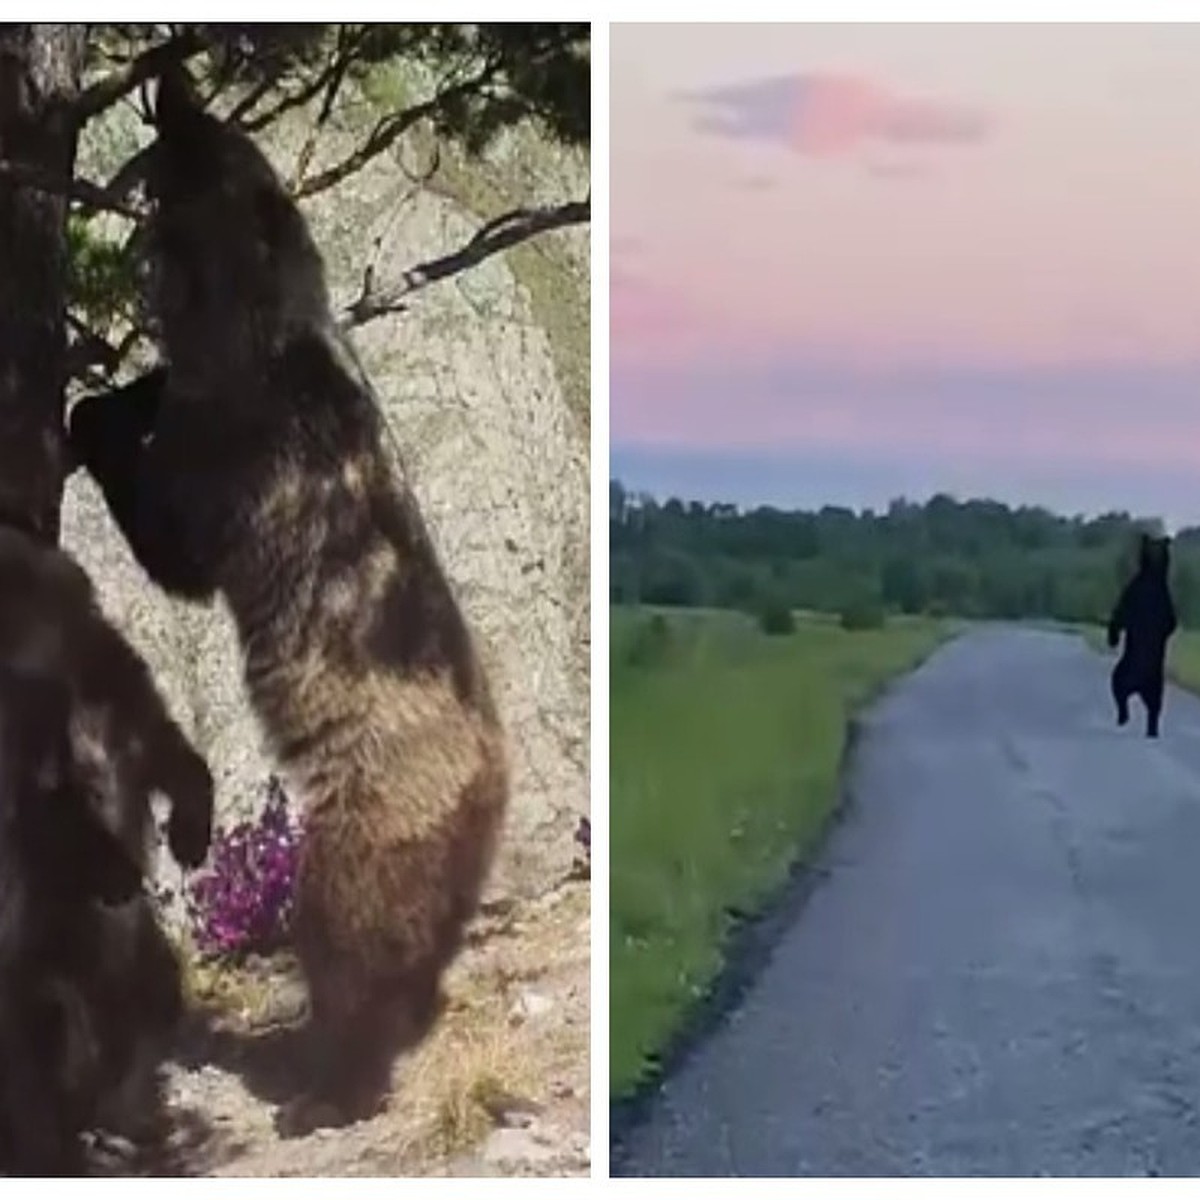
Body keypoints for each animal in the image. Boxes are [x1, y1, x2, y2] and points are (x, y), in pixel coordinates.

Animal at [69, 63, 511, 1132]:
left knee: (346, 936)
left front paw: (92, 413)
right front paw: (123, 389)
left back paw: (332, 1083)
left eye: (149, 193)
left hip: (371, 821)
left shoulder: (244, 455)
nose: (125, 251)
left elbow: (179, 550)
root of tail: (489, 777)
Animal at [1108, 537, 1176, 739]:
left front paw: (1112, 639)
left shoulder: (1133, 593)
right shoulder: (1165, 602)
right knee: (1154, 706)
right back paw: (1151, 730)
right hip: (1155, 685)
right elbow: (1171, 624)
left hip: (1125, 674)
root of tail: (1139, 686)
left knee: (1119, 691)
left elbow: (1120, 615)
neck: (1152, 575)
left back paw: (1124, 718)